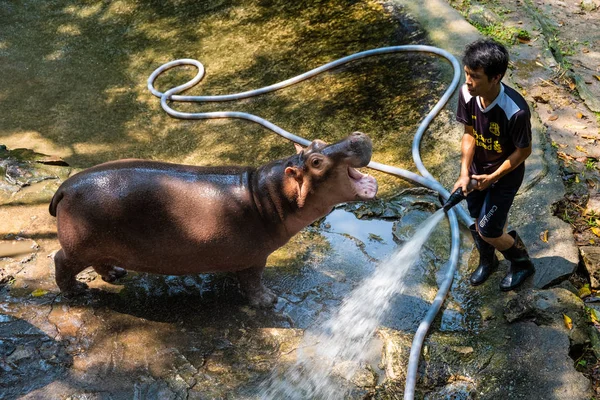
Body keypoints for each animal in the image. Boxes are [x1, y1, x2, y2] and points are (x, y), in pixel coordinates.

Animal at [50, 131, 380, 306]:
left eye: (318, 140)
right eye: (316, 161)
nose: (356, 136)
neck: (268, 194)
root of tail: (64, 187)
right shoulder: (254, 258)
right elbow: (253, 281)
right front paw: (268, 300)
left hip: (101, 244)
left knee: (100, 262)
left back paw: (117, 274)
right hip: (79, 247)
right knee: (60, 260)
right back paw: (76, 292)